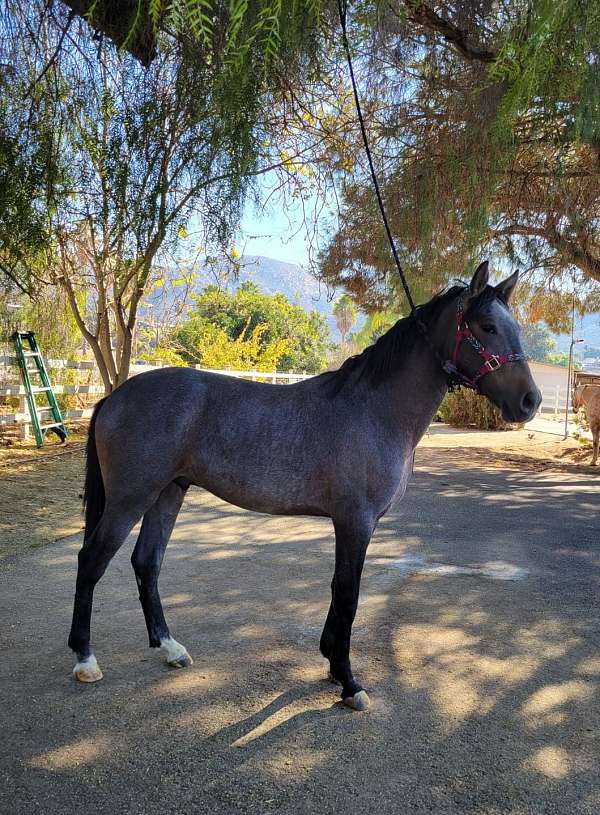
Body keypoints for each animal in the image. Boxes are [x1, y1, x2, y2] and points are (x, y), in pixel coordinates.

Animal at [69, 264, 540, 712]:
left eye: (512, 326)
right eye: (487, 327)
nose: (530, 401)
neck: (374, 411)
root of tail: (114, 396)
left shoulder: (351, 524)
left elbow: (337, 589)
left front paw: (332, 665)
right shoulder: (356, 521)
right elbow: (348, 595)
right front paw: (349, 683)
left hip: (168, 492)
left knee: (147, 562)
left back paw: (169, 648)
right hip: (131, 497)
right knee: (92, 560)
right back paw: (85, 659)